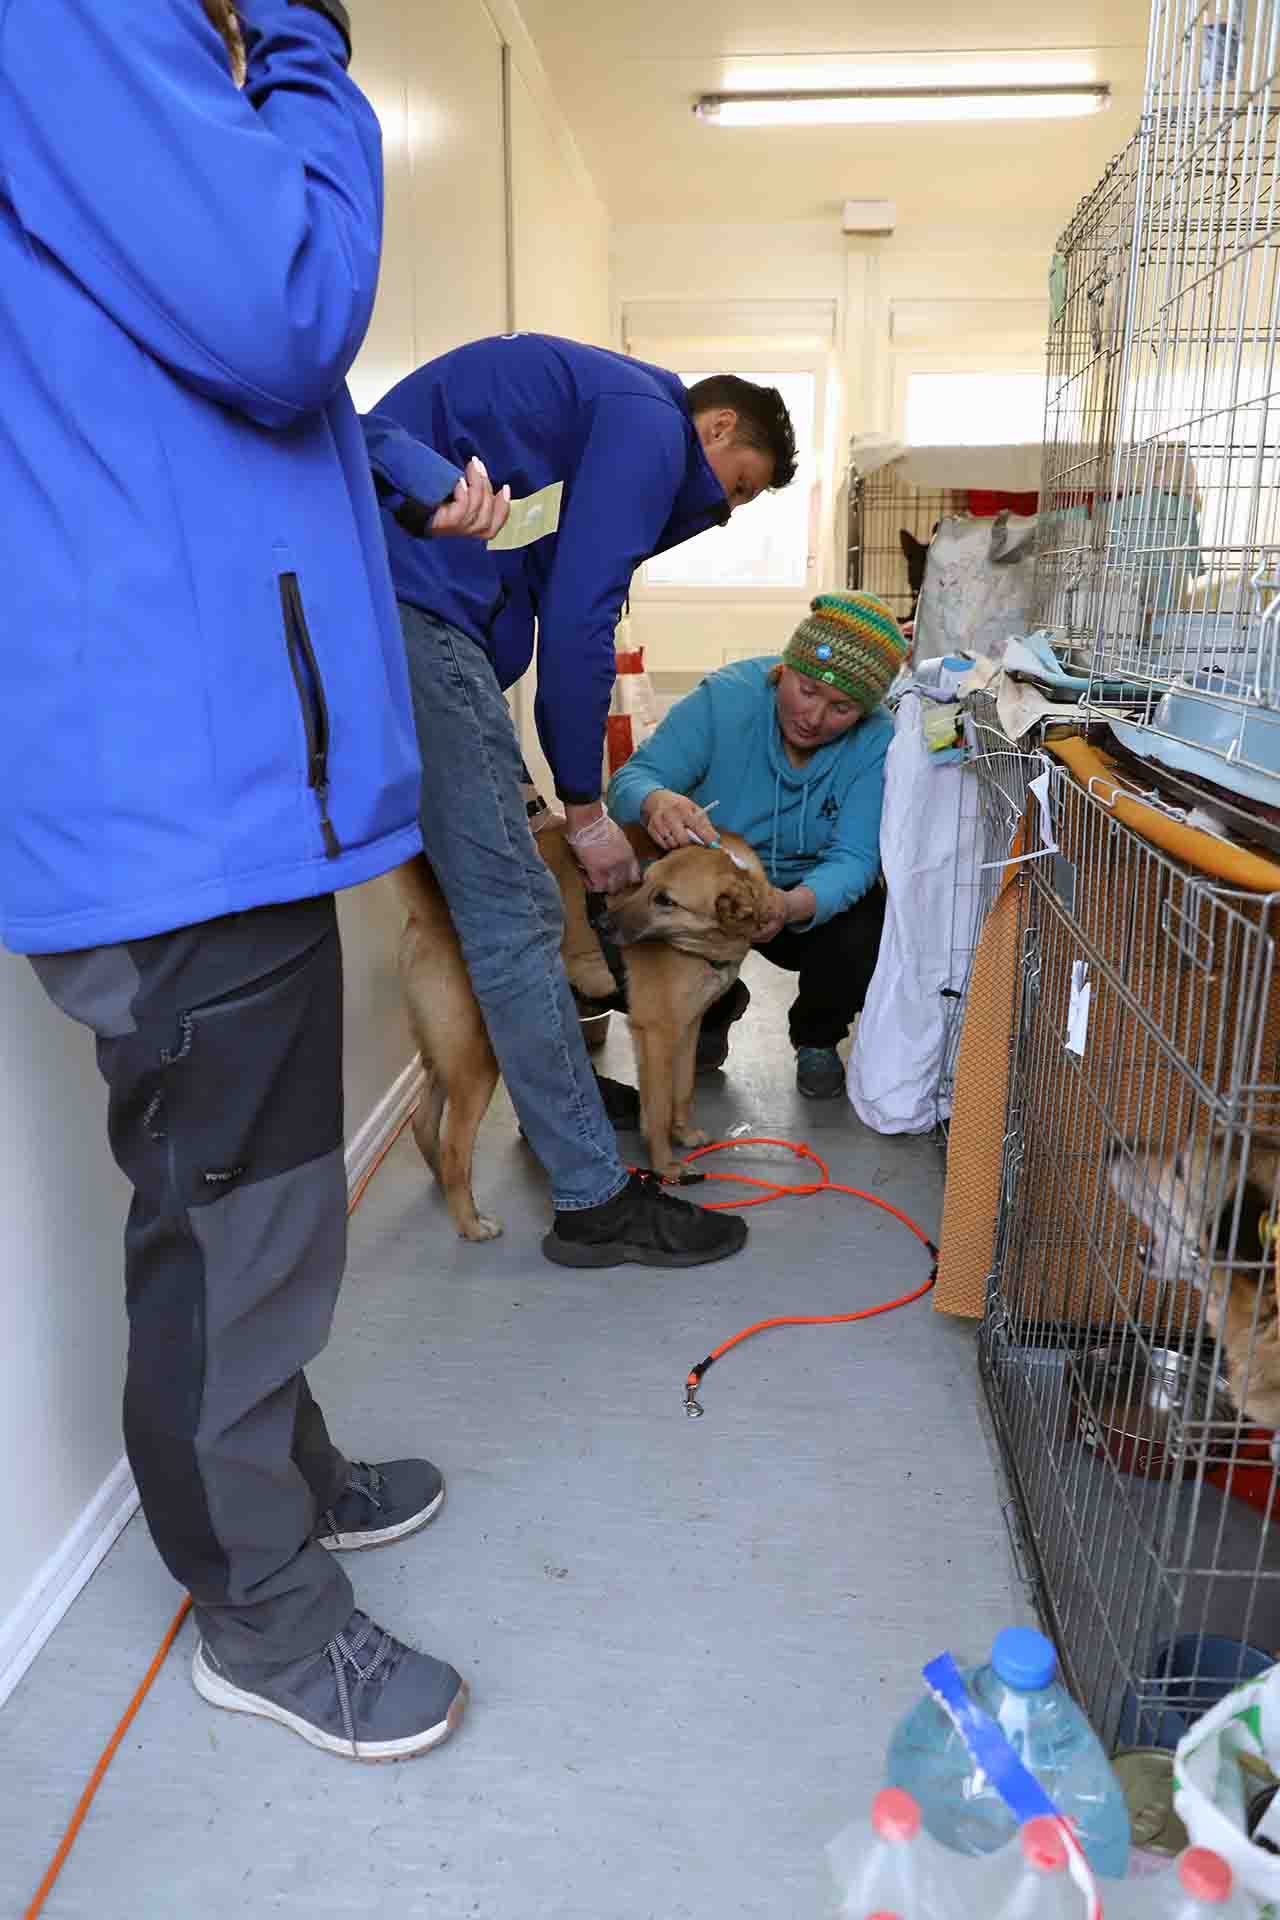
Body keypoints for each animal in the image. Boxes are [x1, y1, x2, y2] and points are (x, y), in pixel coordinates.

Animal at [391, 817, 771, 1236]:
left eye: (665, 900)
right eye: (645, 881)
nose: (602, 924)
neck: (711, 941)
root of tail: (429, 910)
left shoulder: (687, 1026)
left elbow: (683, 1090)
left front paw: (683, 1133)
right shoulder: (655, 1032)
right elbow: (656, 1111)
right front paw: (665, 1165)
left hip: (448, 1053)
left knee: (423, 1122)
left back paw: (444, 1188)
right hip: (478, 1058)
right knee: (454, 1148)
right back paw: (470, 1223)